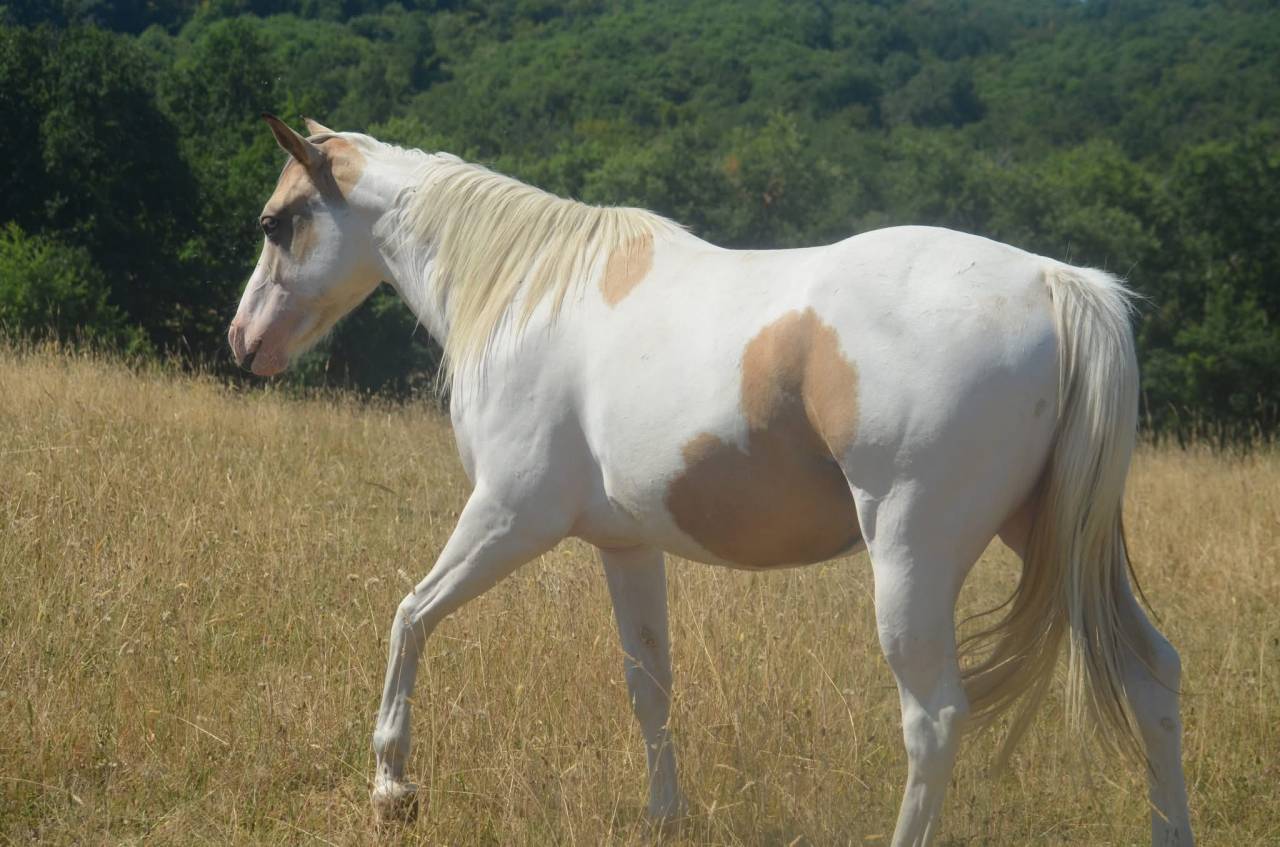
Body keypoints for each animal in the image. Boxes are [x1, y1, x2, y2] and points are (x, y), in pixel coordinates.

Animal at [227, 115, 1193, 846]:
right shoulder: (623, 546)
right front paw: (664, 814)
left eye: (278, 222)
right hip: (1051, 540)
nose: (244, 341)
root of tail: (1055, 281)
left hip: (913, 557)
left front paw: (393, 786)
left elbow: (410, 617)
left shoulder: (508, 516)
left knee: (935, 718)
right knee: (1152, 677)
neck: (535, 296)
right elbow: (649, 684)